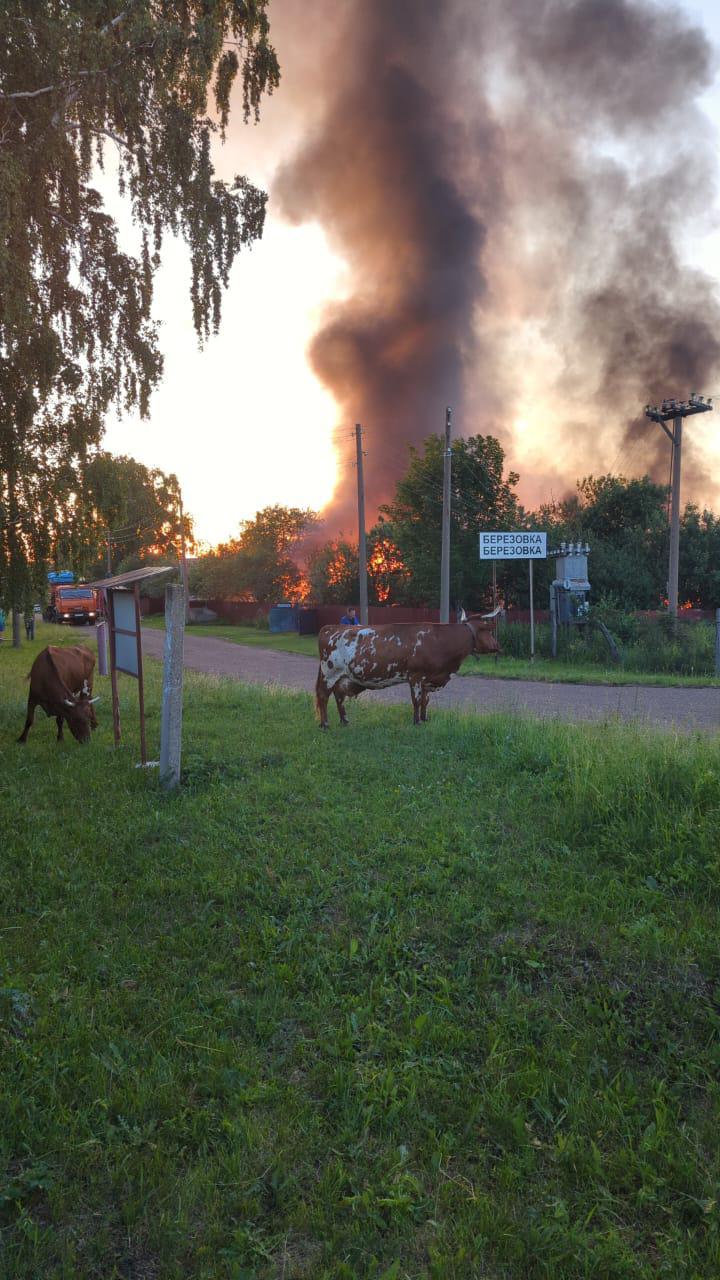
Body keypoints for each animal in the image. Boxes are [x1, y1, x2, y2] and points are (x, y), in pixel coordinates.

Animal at [313, 616, 499, 732]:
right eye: (488, 632)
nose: (498, 646)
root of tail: (330, 627)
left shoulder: (426, 679)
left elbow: (425, 701)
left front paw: (424, 719)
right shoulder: (415, 675)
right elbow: (416, 700)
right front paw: (417, 722)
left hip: (342, 677)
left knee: (339, 697)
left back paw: (344, 721)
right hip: (329, 673)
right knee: (323, 696)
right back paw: (325, 724)